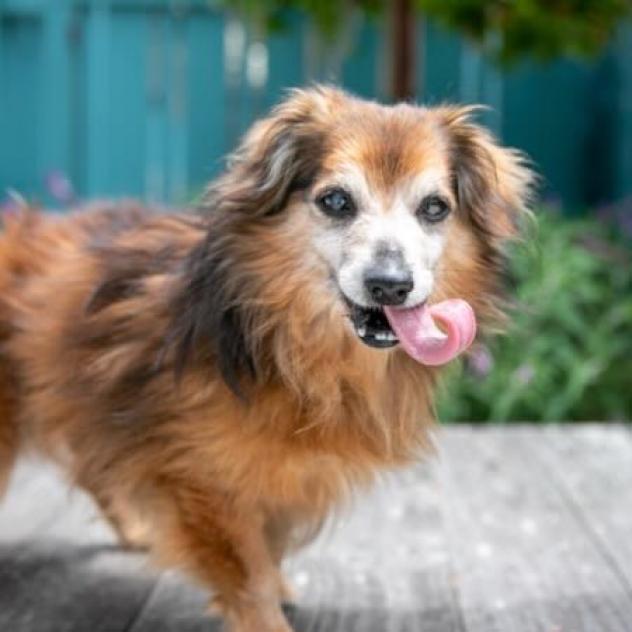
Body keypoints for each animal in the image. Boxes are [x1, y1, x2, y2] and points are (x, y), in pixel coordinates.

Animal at [0, 87, 532, 632]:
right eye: (336, 201)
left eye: (434, 207)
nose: (390, 285)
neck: (288, 348)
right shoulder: (202, 479)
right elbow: (248, 573)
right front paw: (266, 616)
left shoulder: (280, 480)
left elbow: (269, 551)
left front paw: (278, 588)